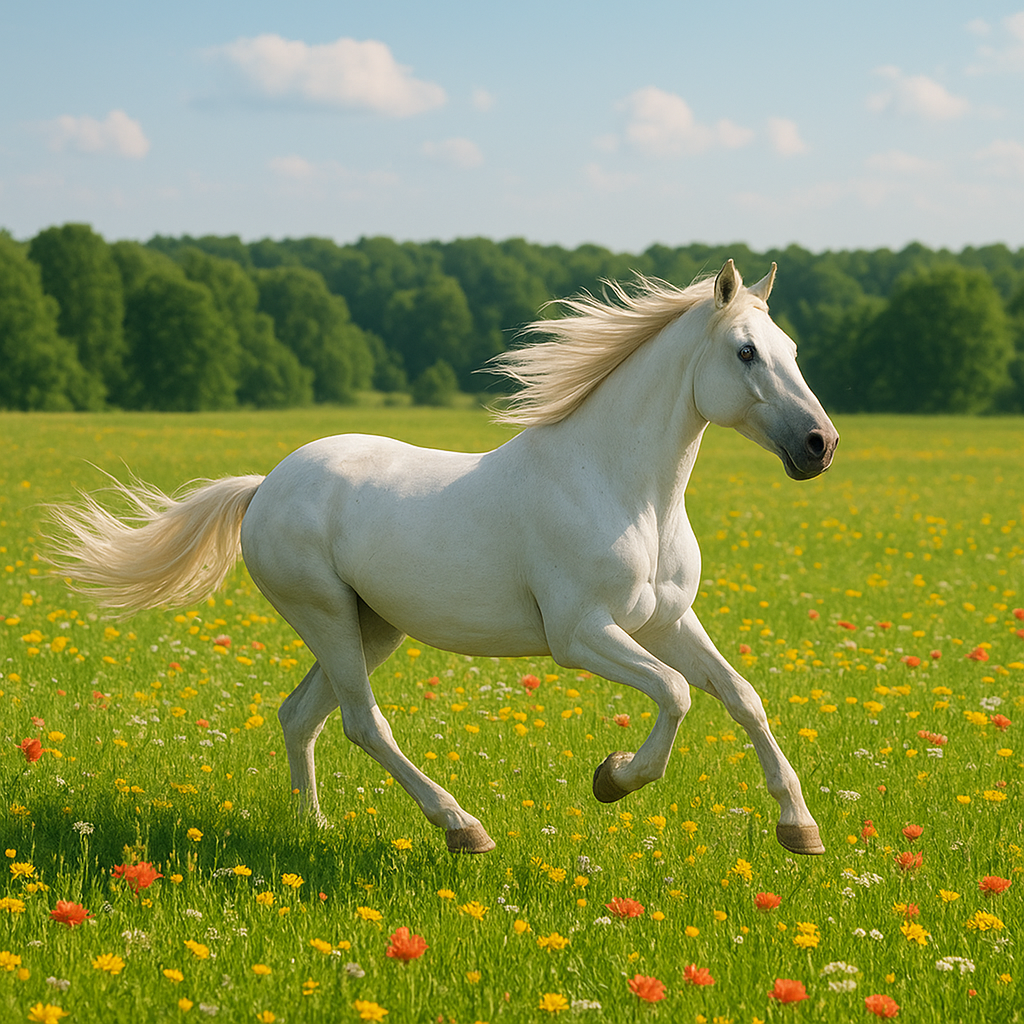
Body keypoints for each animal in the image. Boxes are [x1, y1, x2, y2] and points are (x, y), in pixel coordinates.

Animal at [49, 259, 838, 858]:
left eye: (797, 351)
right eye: (745, 352)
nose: (820, 445)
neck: (625, 491)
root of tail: (264, 485)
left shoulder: (667, 621)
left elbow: (740, 695)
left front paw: (799, 829)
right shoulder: (580, 635)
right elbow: (676, 693)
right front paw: (612, 779)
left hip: (372, 626)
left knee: (300, 715)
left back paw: (312, 829)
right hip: (326, 615)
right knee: (362, 723)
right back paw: (462, 828)